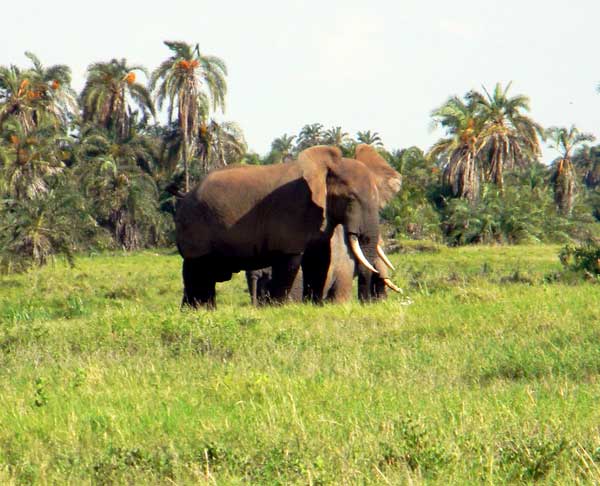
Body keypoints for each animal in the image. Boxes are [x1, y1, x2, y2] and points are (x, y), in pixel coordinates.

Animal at [175, 144, 384, 308]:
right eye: (350, 198)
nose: (366, 303)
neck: (324, 169)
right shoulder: (292, 210)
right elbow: (290, 261)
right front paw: (281, 308)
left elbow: (319, 259)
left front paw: (313, 306)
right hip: (195, 225)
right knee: (198, 272)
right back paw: (198, 311)